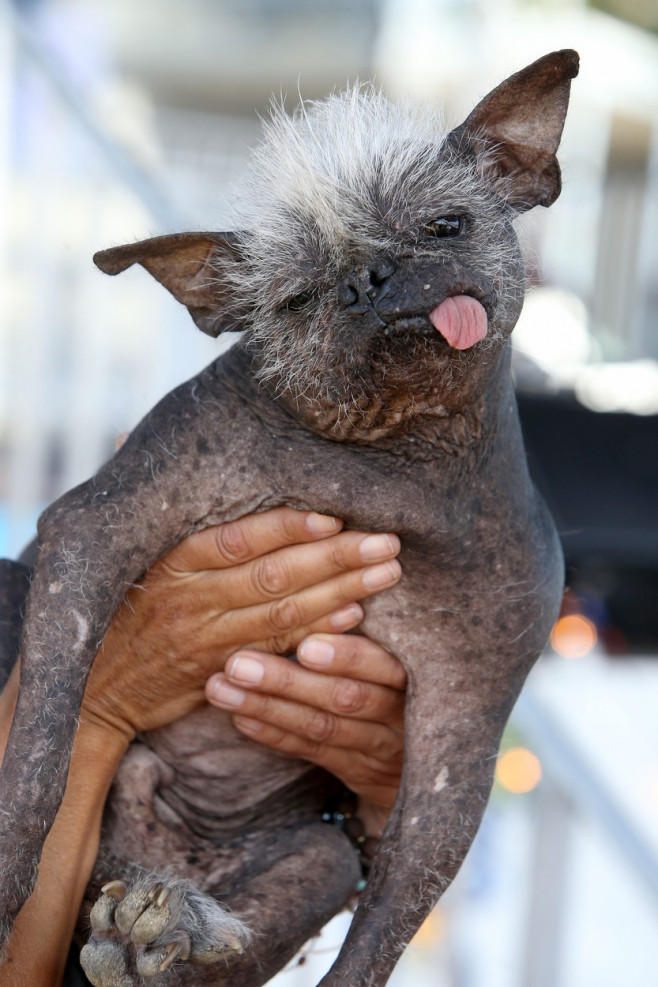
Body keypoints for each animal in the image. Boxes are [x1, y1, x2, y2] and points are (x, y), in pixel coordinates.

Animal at [0, 50, 576, 984]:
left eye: (445, 226)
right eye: (300, 298)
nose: (370, 277)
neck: (390, 458)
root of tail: (171, 859)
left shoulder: (463, 733)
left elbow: (386, 928)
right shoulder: (92, 528)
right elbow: (40, 754)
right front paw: (6, 869)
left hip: (317, 856)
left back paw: (162, 932)